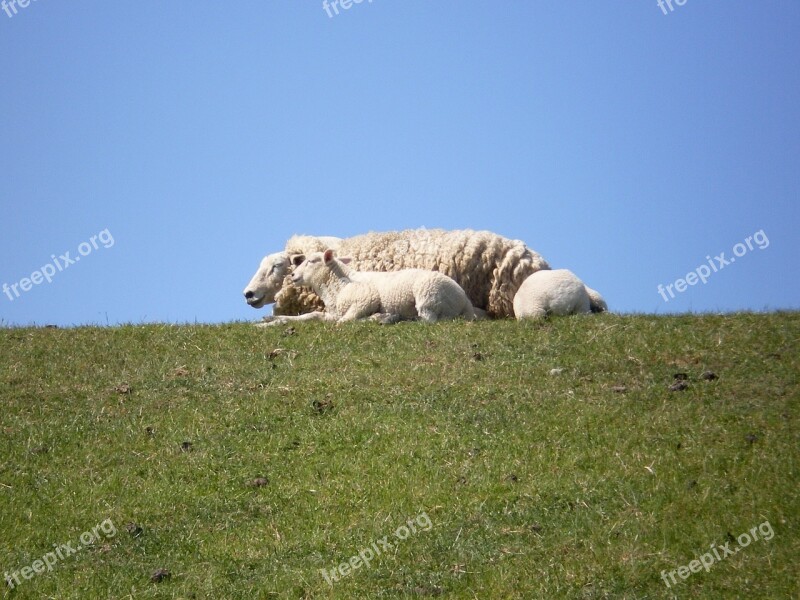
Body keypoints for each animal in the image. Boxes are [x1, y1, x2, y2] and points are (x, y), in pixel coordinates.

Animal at [260, 247, 476, 324]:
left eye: (312, 261)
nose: (293, 275)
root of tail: (465, 300)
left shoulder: (365, 299)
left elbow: (345, 322)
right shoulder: (332, 312)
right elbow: (309, 316)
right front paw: (272, 320)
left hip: (428, 295)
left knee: (428, 320)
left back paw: (393, 318)